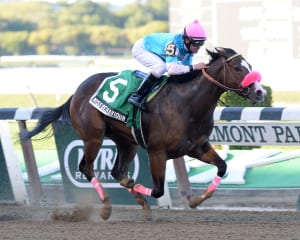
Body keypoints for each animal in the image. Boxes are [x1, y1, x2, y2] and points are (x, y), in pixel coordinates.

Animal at [22, 47, 268, 220]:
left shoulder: (197, 146)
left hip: (126, 141)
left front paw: (195, 200)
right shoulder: (157, 152)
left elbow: (222, 166)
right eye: (238, 68)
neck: (187, 104)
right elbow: (158, 190)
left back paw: (140, 204)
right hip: (93, 137)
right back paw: (107, 207)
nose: (259, 92)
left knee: (117, 172)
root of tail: (76, 92)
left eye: (250, 65)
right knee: (86, 168)